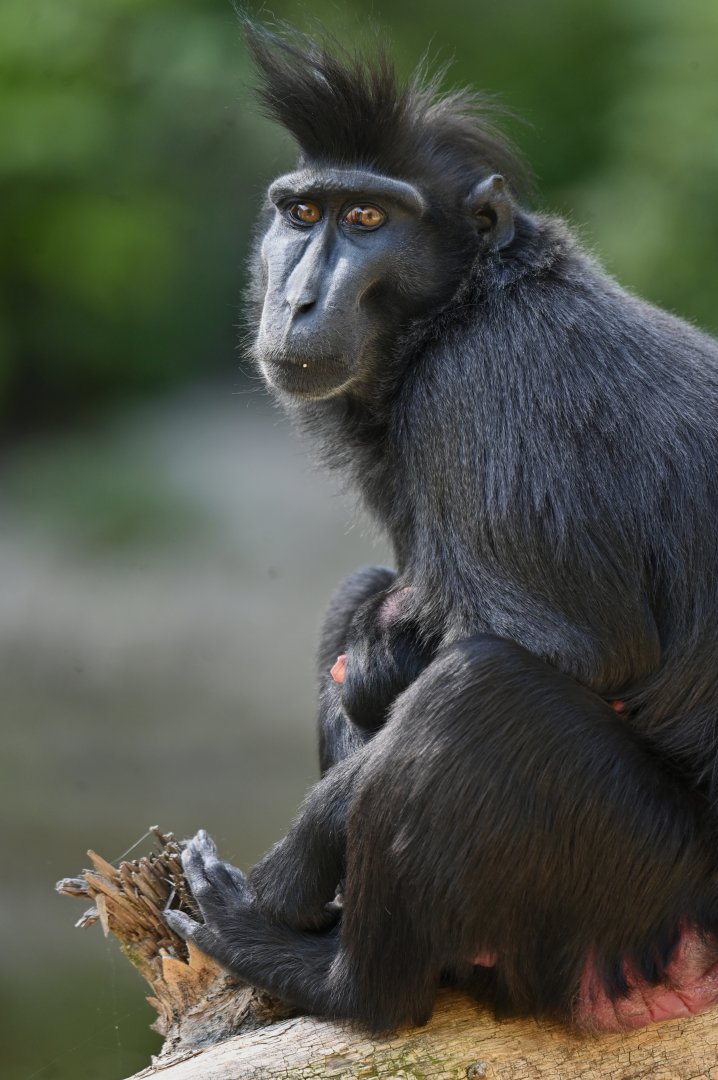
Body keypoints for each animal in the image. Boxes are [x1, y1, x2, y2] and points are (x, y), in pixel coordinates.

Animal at [165, 21, 718, 1034]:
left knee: (479, 692)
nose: (298, 300)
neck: (467, 303)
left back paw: (337, 979)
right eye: (302, 214)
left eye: (368, 221)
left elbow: (569, 649)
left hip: (650, 883)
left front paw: (294, 865)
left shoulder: (482, 388)